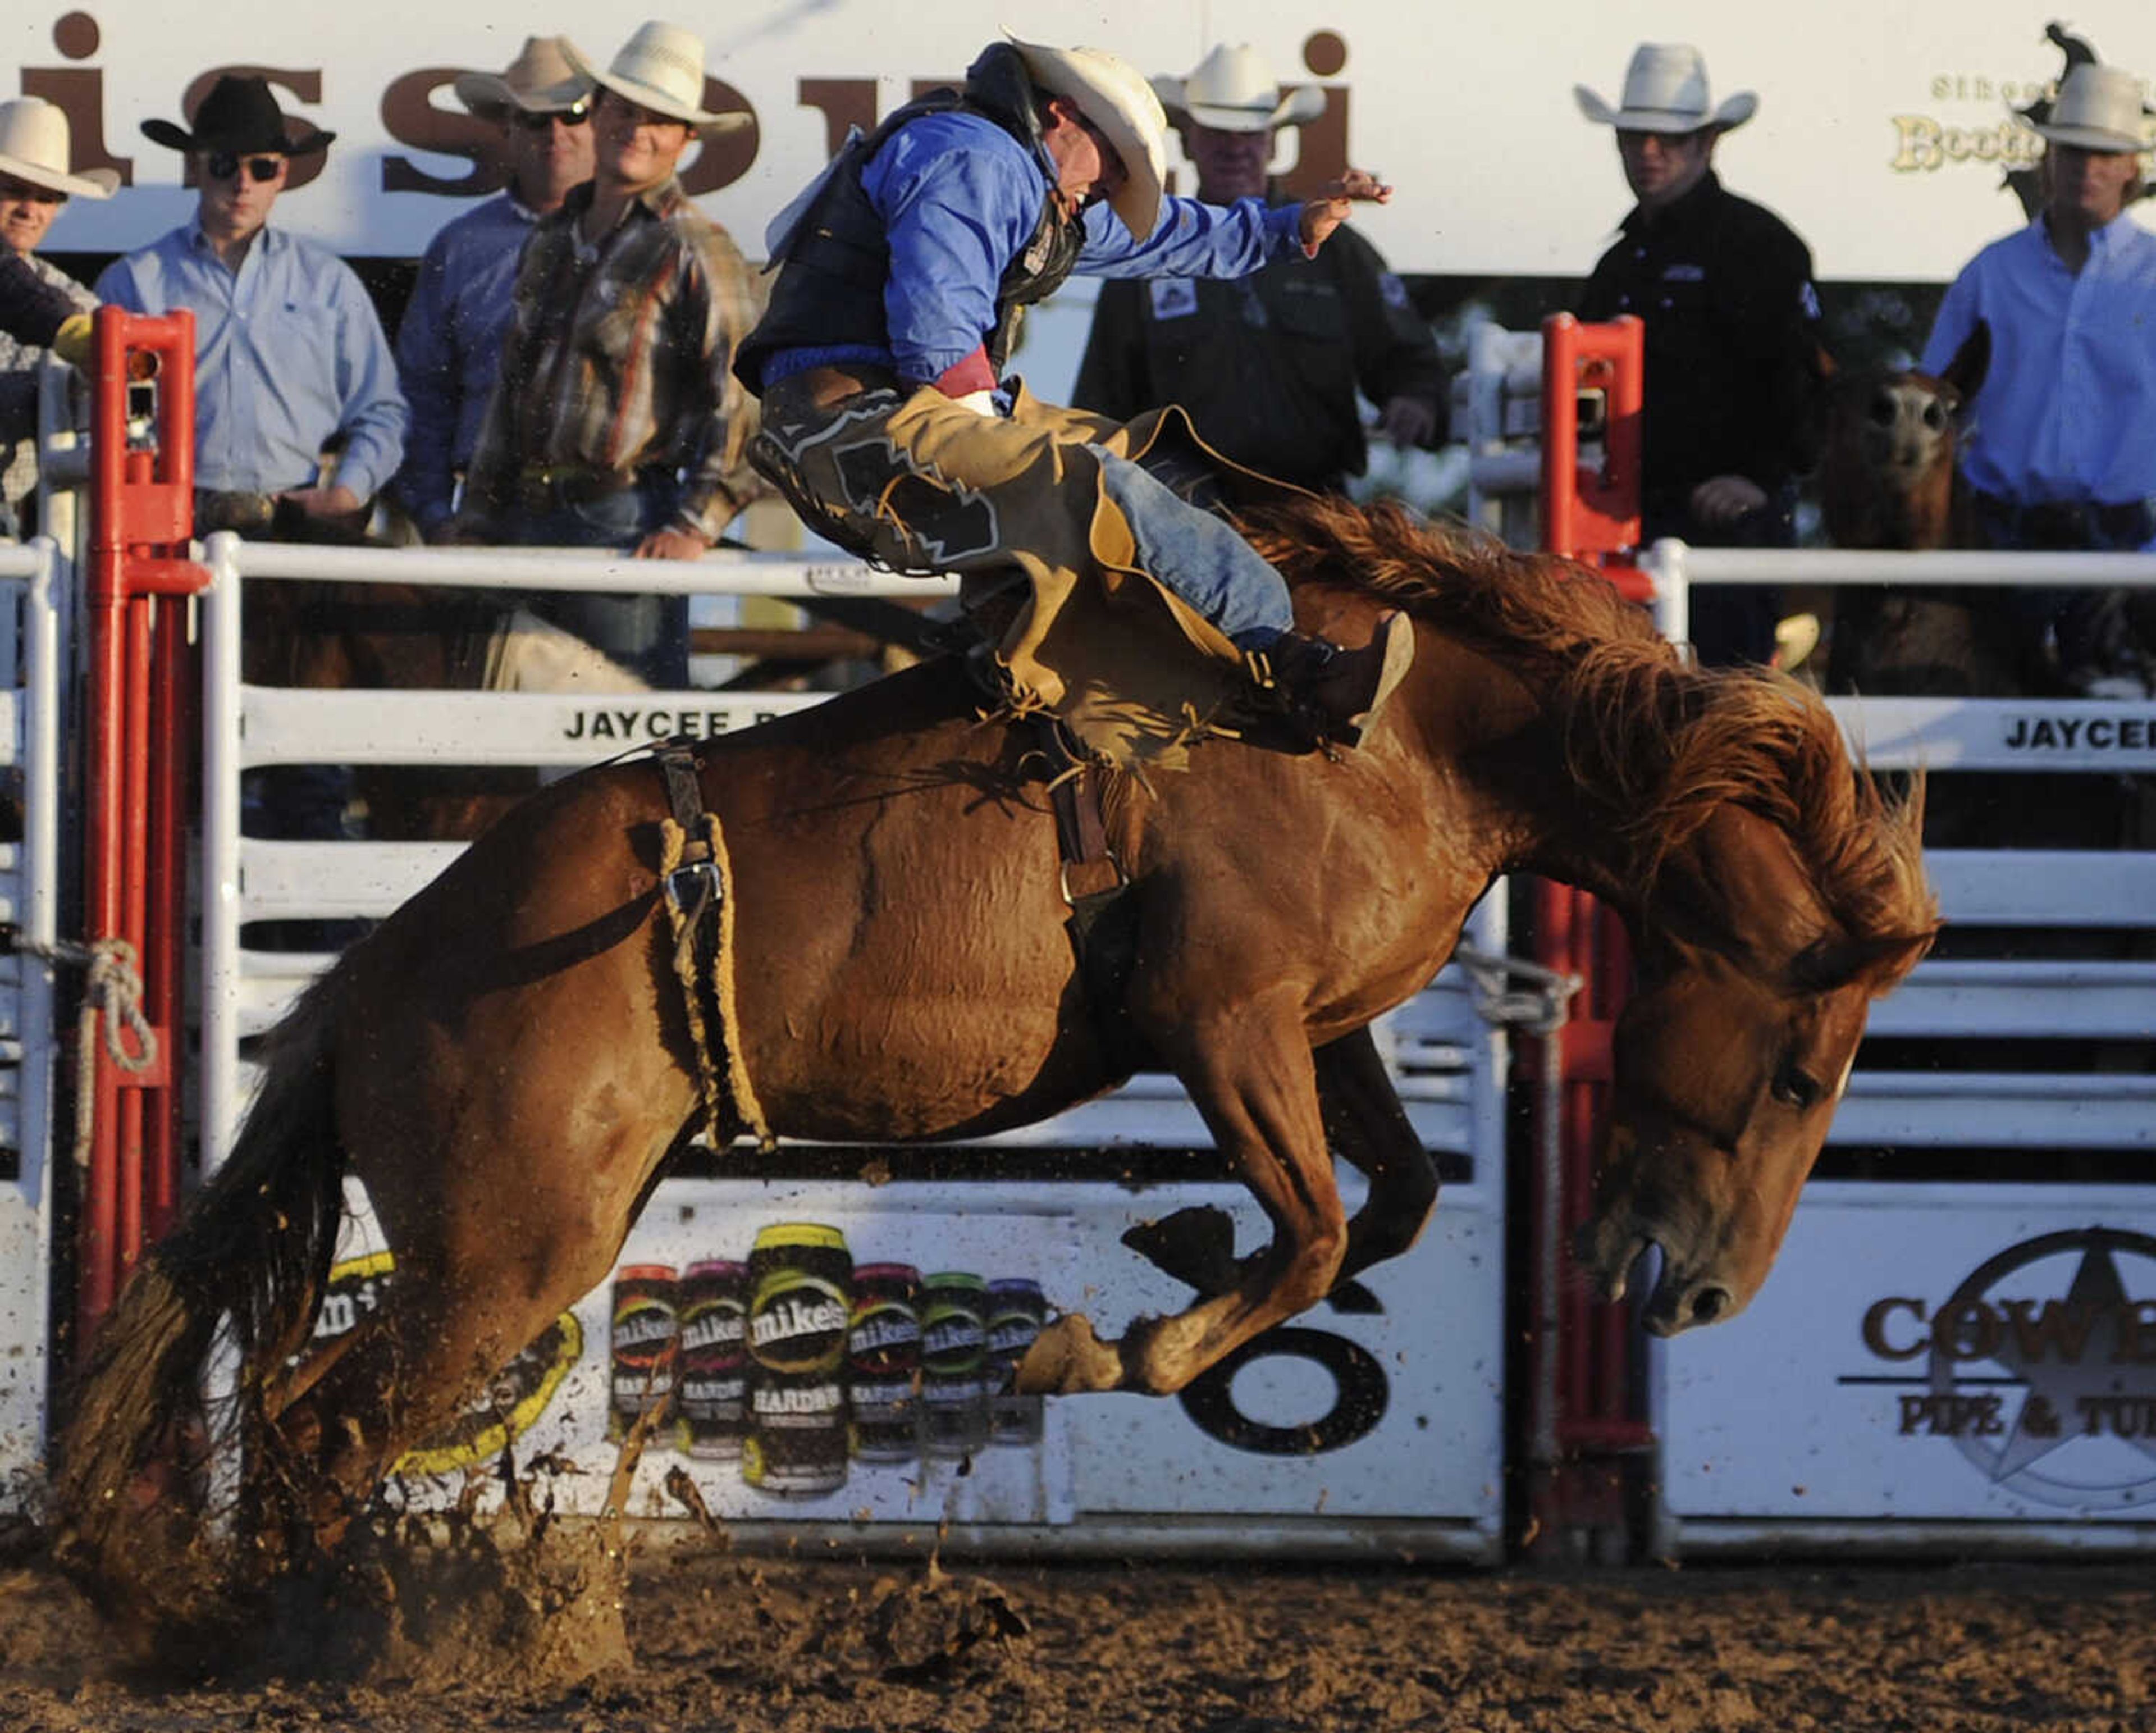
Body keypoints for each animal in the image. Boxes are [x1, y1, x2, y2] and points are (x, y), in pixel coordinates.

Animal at [59, 493, 1940, 1621]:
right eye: (1803, 1071)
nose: (1700, 1289)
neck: (1408, 726)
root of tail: (367, 977)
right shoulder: (1221, 1017)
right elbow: (1320, 1225)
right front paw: (1102, 1343)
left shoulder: (1322, 1023)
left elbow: (1388, 1201)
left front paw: (1176, 1252)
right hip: (502, 1252)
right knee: (316, 1415)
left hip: (496, 1252)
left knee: (303, 1410)